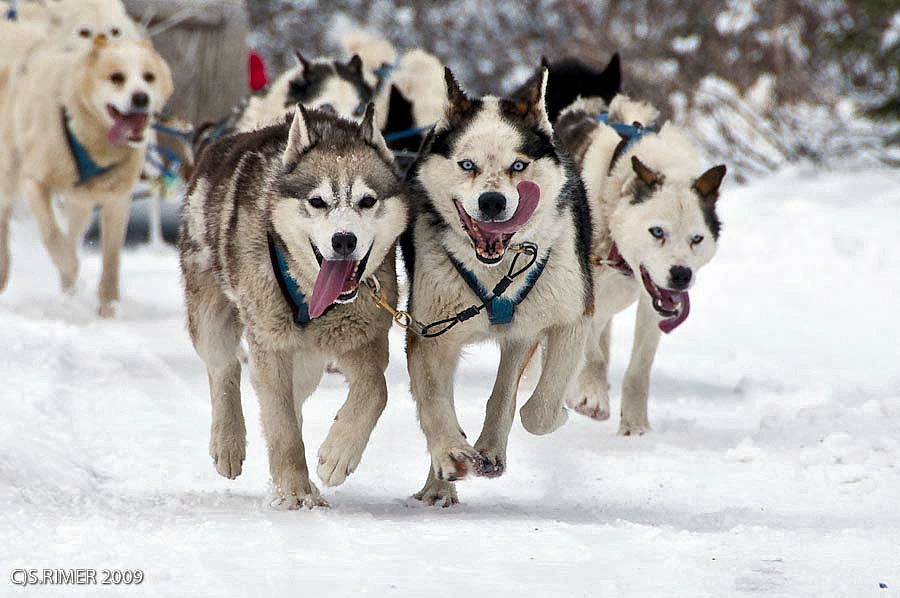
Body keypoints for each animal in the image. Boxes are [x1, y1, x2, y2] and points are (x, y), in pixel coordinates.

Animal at [0, 35, 174, 316]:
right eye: (117, 77)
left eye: (149, 76)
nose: (141, 98)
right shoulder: (34, 182)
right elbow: (51, 235)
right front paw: (69, 265)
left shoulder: (117, 201)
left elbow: (112, 258)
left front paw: (109, 307)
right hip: (10, 177)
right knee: (7, 220)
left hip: (81, 205)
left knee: (73, 233)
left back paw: (68, 291)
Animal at [400, 67, 592, 506]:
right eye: (466, 164)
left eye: (518, 165)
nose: (491, 201)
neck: (496, 272)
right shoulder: (432, 333)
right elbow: (434, 402)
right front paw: (450, 453)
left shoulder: (570, 319)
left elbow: (538, 411)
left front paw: (557, 414)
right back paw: (441, 482)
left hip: (525, 327)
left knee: (506, 390)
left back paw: (489, 449)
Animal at [552, 94, 728, 436]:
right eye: (657, 231)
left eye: (696, 239)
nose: (681, 275)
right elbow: (590, 352)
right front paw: (591, 395)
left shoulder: (652, 304)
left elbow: (638, 368)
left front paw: (635, 427)